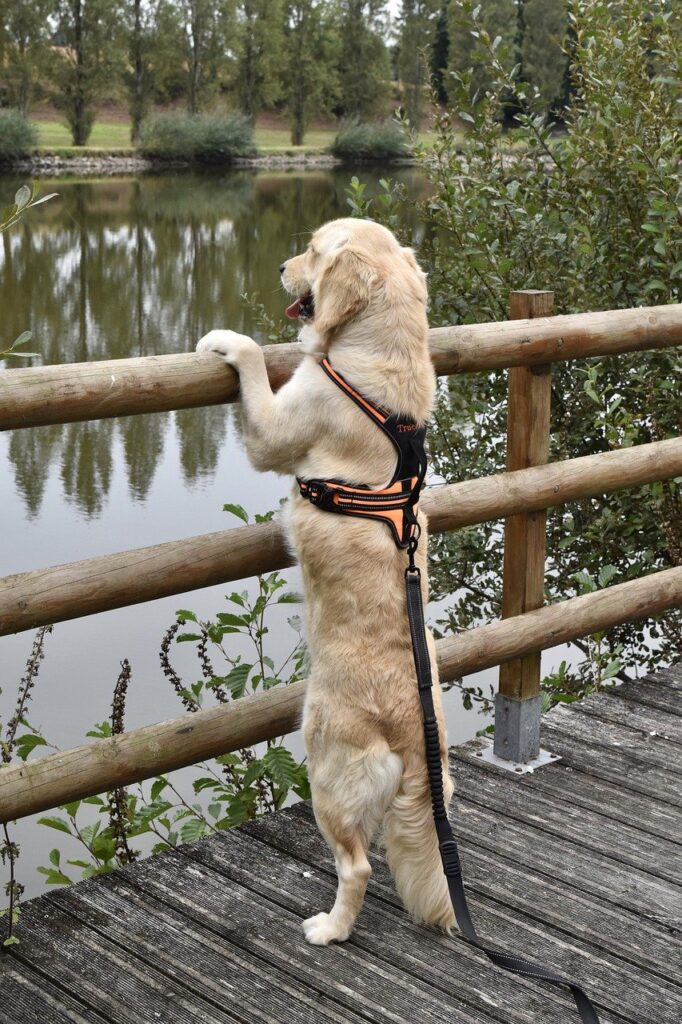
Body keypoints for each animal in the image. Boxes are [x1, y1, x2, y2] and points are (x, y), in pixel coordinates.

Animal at [195, 220, 450, 946]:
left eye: (311, 250)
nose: (282, 266)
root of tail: (411, 737)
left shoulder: (279, 425)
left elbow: (256, 358)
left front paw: (226, 340)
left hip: (326, 770)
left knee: (355, 865)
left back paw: (328, 928)